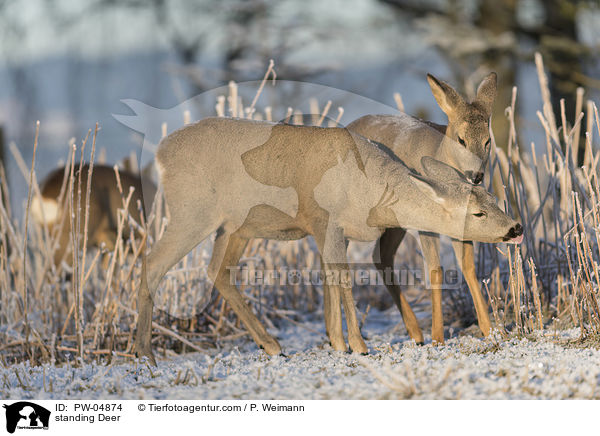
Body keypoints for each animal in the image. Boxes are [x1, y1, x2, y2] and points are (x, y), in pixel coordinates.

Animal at [132, 116, 520, 364]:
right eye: (478, 213)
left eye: (493, 198)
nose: (515, 228)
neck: (371, 192)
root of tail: (160, 155)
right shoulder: (328, 221)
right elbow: (344, 279)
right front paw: (359, 345)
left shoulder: (332, 231)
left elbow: (330, 278)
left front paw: (338, 342)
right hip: (192, 211)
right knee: (152, 263)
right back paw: (145, 354)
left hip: (234, 227)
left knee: (217, 272)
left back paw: (272, 345)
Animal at [344, 71, 500, 344]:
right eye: (461, 139)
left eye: (487, 140)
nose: (477, 175)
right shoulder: (424, 221)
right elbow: (435, 269)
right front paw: (438, 337)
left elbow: (468, 267)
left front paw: (490, 330)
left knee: (380, 256)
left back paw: (415, 332)